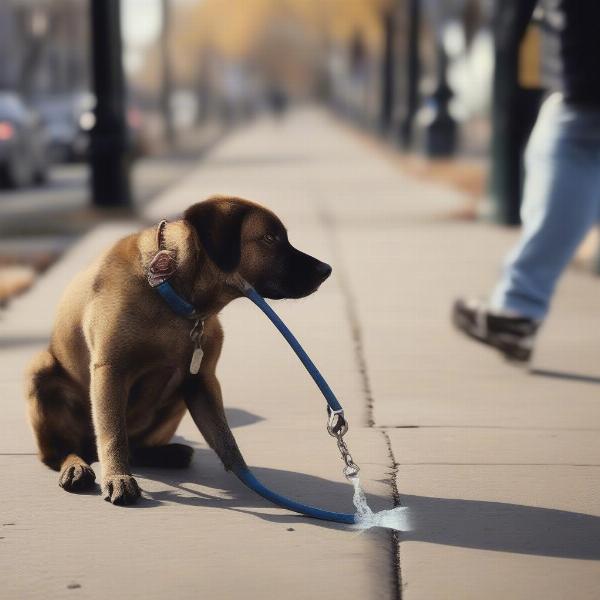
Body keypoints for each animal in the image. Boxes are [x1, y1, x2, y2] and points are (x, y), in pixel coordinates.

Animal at [25, 196, 330, 502]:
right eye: (269, 238)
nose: (326, 270)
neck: (174, 296)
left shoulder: (201, 381)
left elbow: (226, 440)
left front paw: (253, 482)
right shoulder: (110, 370)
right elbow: (113, 433)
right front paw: (117, 476)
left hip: (178, 397)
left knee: (135, 448)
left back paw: (167, 454)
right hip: (39, 369)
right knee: (61, 452)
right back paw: (75, 467)